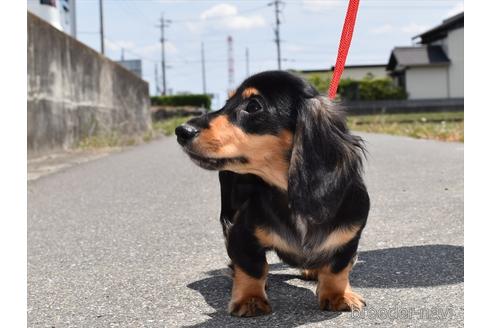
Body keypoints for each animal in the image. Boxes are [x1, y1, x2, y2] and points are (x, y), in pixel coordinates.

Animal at [175, 70, 368, 316]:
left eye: (253, 106)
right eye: (227, 102)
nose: (181, 131)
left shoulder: (350, 237)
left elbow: (337, 268)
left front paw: (339, 295)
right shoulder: (241, 232)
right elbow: (253, 267)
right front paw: (250, 299)